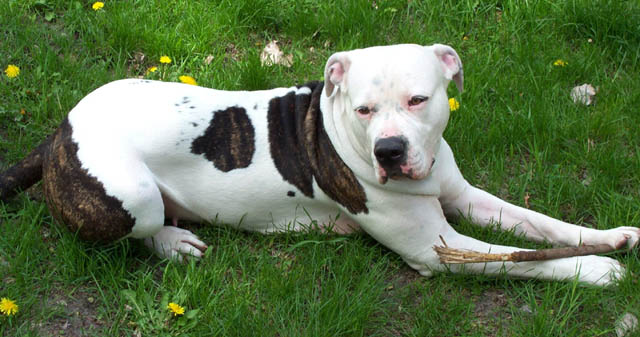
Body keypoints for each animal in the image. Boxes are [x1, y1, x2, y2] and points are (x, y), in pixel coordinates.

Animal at [2, 44, 636, 286]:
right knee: (140, 229)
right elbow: (521, 258)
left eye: (418, 99)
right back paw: (175, 243)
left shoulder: (463, 195)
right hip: (131, 195)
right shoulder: (442, 251)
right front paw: (596, 271)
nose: (389, 151)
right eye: (362, 108)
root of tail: (61, 130)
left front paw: (612, 237)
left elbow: (541, 226)